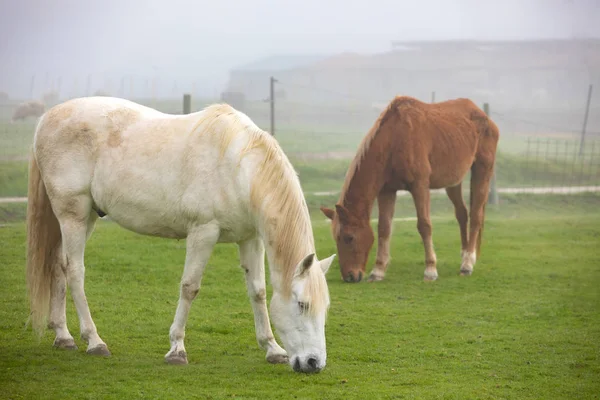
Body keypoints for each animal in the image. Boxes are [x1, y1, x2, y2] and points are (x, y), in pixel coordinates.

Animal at [27, 96, 338, 372]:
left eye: (325, 308)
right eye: (302, 304)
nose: (313, 363)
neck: (237, 167)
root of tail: (47, 118)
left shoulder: (250, 239)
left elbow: (258, 292)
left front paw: (272, 349)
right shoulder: (203, 232)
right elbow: (190, 287)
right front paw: (177, 349)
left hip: (85, 217)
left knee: (59, 266)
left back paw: (63, 336)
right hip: (73, 215)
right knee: (75, 271)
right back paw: (94, 341)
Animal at [322, 96, 500, 284]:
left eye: (349, 238)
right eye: (337, 238)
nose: (350, 276)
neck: (394, 139)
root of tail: (484, 116)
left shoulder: (420, 186)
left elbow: (424, 225)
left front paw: (430, 270)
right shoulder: (387, 191)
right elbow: (384, 228)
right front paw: (378, 271)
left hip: (483, 170)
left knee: (476, 216)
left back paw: (467, 264)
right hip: (453, 181)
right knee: (462, 214)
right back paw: (465, 254)